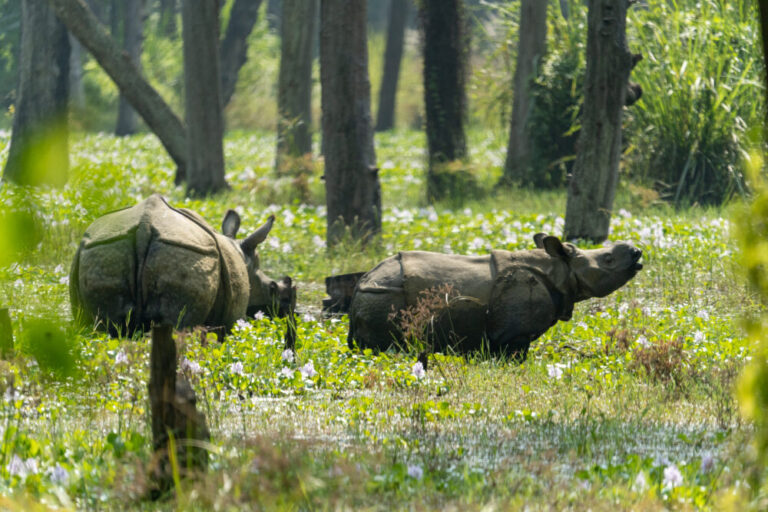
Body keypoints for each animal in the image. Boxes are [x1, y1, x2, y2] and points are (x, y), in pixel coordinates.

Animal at [69, 194, 296, 336]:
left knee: (107, 330)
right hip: (188, 252)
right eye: (273, 289)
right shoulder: (232, 322)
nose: (291, 309)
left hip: (102, 248)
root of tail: (144, 227)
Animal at [347, 234, 643, 361]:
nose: (637, 252)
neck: (560, 270)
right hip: (383, 296)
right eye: (608, 260)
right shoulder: (513, 333)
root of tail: (361, 284)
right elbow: (515, 356)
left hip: (376, 294)